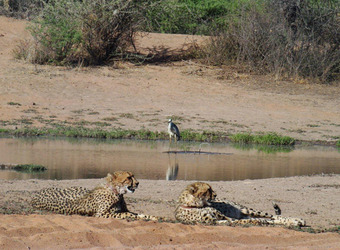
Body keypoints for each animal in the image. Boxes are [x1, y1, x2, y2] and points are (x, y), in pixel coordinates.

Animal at [30, 171, 162, 222]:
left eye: (133, 176)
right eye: (129, 177)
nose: (138, 183)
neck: (116, 192)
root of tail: (36, 194)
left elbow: (139, 213)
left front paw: (156, 217)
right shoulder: (101, 214)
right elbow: (126, 214)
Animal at [175, 181, 306, 228]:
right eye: (208, 189)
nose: (216, 195)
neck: (195, 205)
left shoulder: (224, 216)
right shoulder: (216, 220)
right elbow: (236, 221)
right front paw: (255, 222)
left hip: (247, 210)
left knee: (274, 216)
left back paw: (297, 220)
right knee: (271, 219)